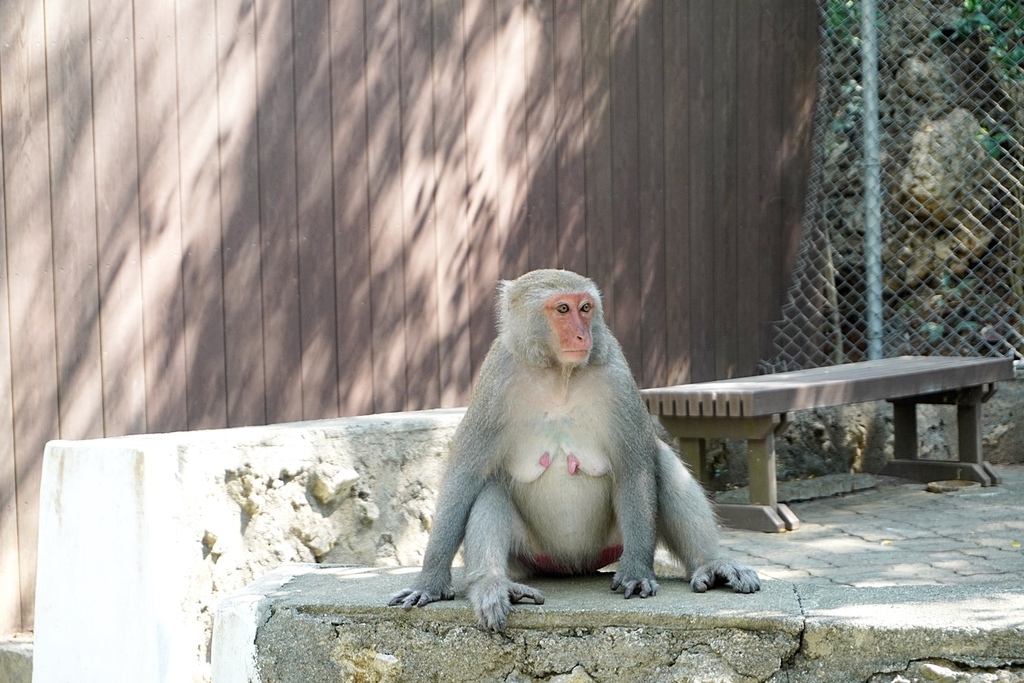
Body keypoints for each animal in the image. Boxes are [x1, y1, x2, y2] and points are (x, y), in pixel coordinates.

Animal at [387, 268, 757, 630]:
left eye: (586, 308)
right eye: (563, 309)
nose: (583, 336)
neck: (558, 373)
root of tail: (572, 567)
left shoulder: (617, 376)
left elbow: (635, 468)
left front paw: (638, 571)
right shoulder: (494, 381)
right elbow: (465, 477)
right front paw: (430, 582)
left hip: (610, 544)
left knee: (661, 460)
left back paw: (711, 563)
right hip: (530, 556)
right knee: (491, 489)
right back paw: (494, 584)